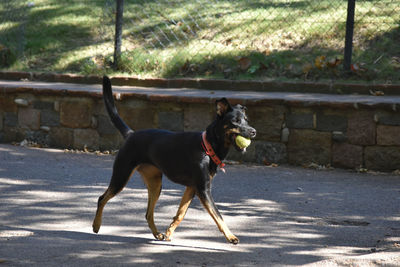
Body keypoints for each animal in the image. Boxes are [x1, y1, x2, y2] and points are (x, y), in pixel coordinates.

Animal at [93, 76, 256, 245]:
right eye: (236, 121)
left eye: (246, 120)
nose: (254, 131)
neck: (207, 147)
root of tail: (131, 134)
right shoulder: (203, 190)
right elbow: (218, 215)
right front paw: (231, 236)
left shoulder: (192, 188)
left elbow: (180, 214)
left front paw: (169, 232)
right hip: (121, 176)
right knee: (101, 198)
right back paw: (96, 225)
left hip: (155, 184)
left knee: (148, 213)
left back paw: (157, 234)